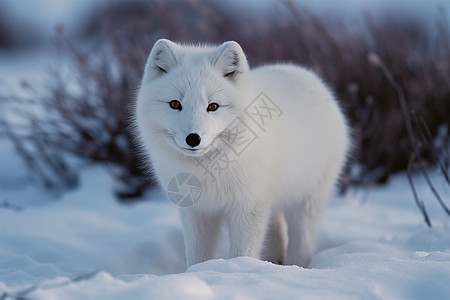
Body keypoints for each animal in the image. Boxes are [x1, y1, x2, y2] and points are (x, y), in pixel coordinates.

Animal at [134, 38, 352, 268]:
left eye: (213, 106)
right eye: (175, 104)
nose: (193, 138)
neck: (212, 169)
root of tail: (305, 74)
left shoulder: (248, 207)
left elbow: (242, 251)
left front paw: (239, 268)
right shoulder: (197, 210)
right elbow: (197, 256)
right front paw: (198, 272)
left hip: (306, 202)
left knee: (301, 242)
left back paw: (296, 267)